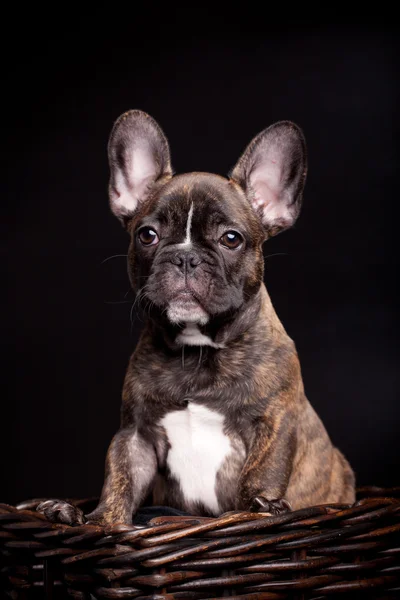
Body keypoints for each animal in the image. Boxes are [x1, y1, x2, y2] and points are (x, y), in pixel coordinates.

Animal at [37, 109, 354, 524]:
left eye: (231, 239)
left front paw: (262, 507)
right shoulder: (135, 436)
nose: (185, 257)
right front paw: (99, 520)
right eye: (147, 235)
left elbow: (262, 475)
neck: (197, 350)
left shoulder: (274, 424)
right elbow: (119, 480)